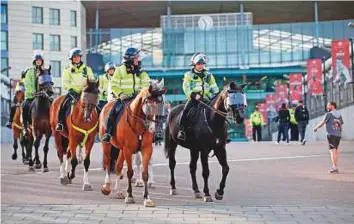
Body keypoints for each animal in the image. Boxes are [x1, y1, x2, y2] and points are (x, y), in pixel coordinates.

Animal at [99, 79, 166, 207]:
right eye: (149, 104)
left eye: (162, 103)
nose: (155, 129)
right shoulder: (128, 150)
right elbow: (130, 172)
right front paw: (129, 196)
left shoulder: (147, 149)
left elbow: (145, 173)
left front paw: (147, 198)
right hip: (106, 144)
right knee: (108, 163)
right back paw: (107, 187)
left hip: (121, 149)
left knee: (119, 166)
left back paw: (118, 192)